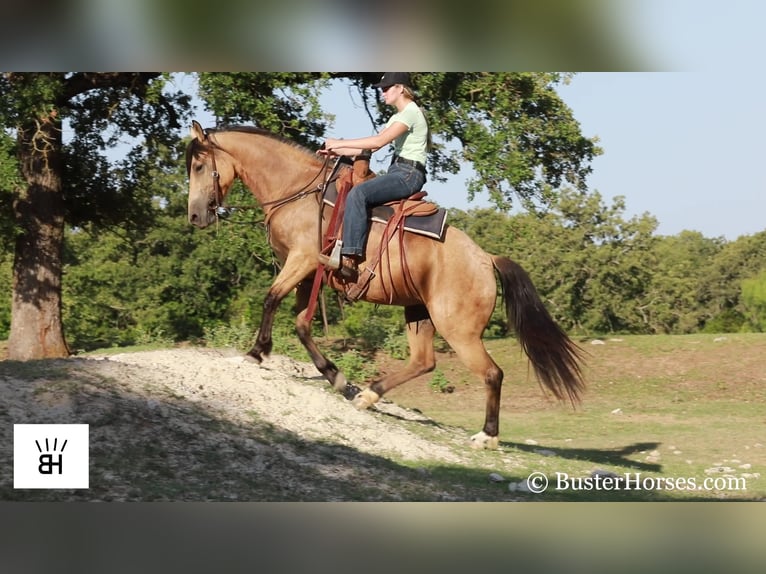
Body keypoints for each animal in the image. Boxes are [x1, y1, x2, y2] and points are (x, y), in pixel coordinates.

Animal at [188, 121, 588, 450]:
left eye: (198, 166)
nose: (194, 216)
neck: (299, 192)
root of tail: (485, 258)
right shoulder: (308, 272)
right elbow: (302, 323)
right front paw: (337, 378)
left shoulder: (300, 260)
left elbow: (271, 299)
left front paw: (256, 352)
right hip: (418, 313)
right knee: (423, 362)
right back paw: (368, 395)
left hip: (458, 330)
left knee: (491, 373)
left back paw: (486, 436)